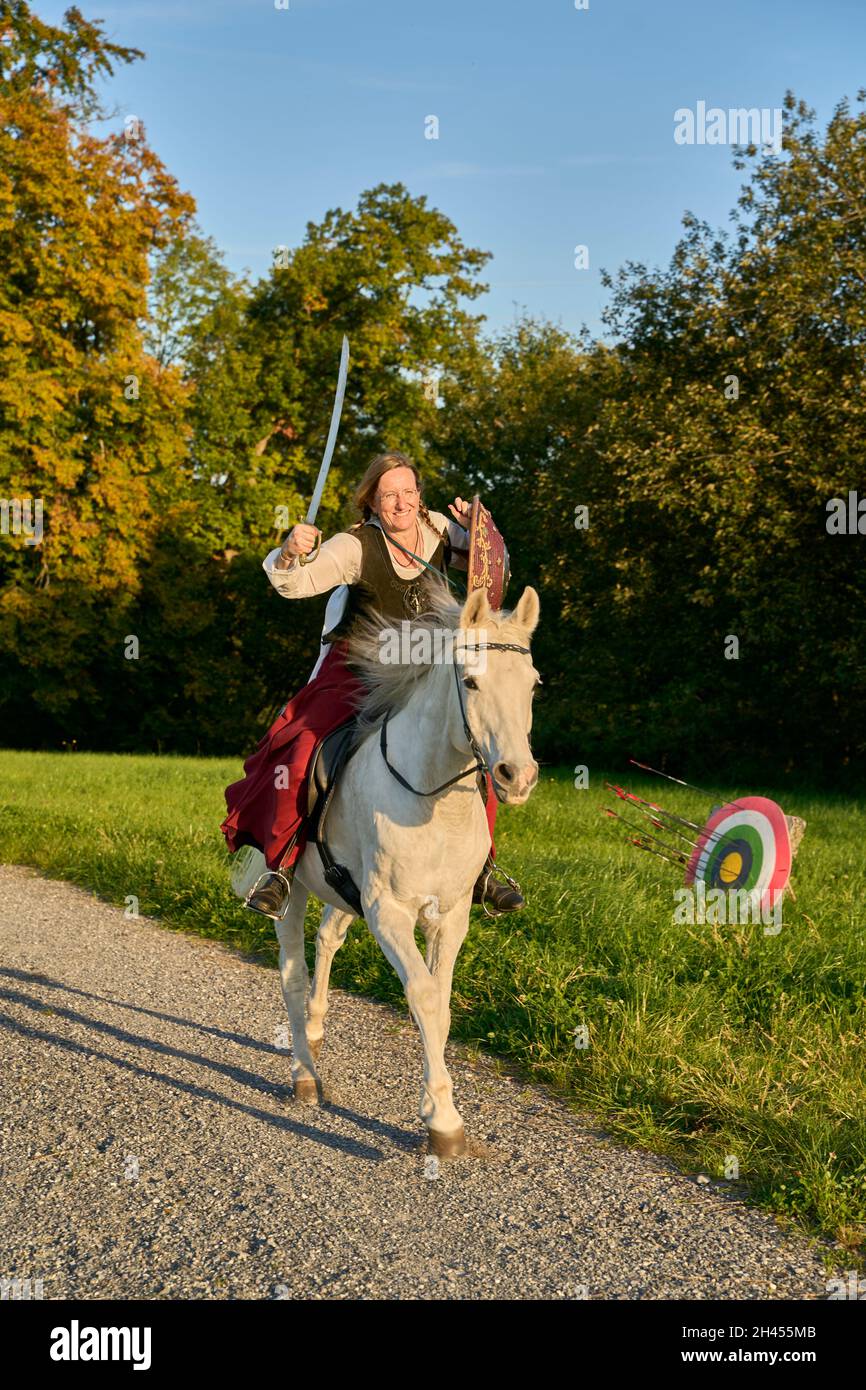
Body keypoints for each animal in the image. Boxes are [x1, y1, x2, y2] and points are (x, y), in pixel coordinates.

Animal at [273, 581, 542, 1156]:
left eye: (532, 685)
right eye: (470, 681)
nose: (518, 776)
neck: (433, 801)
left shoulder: (450, 914)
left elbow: (441, 1004)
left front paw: (439, 1109)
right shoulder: (389, 912)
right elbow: (423, 994)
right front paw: (443, 1121)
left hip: (343, 893)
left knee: (328, 938)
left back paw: (315, 1032)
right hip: (292, 891)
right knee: (293, 973)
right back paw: (304, 1074)